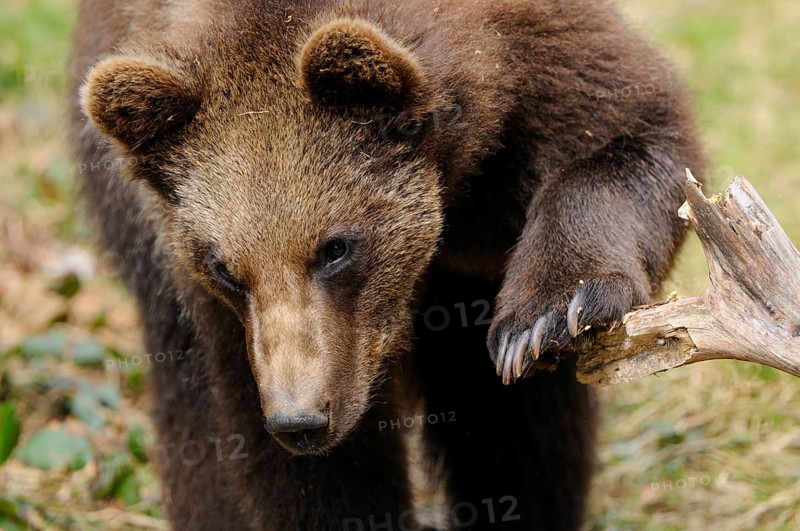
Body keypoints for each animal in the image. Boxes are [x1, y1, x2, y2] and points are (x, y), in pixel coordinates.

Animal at [68, 0, 705, 529]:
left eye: (335, 247)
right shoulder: (230, 321)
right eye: (226, 267)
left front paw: (548, 315)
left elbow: (636, 138)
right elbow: (300, 470)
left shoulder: (546, 68)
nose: (301, 420)